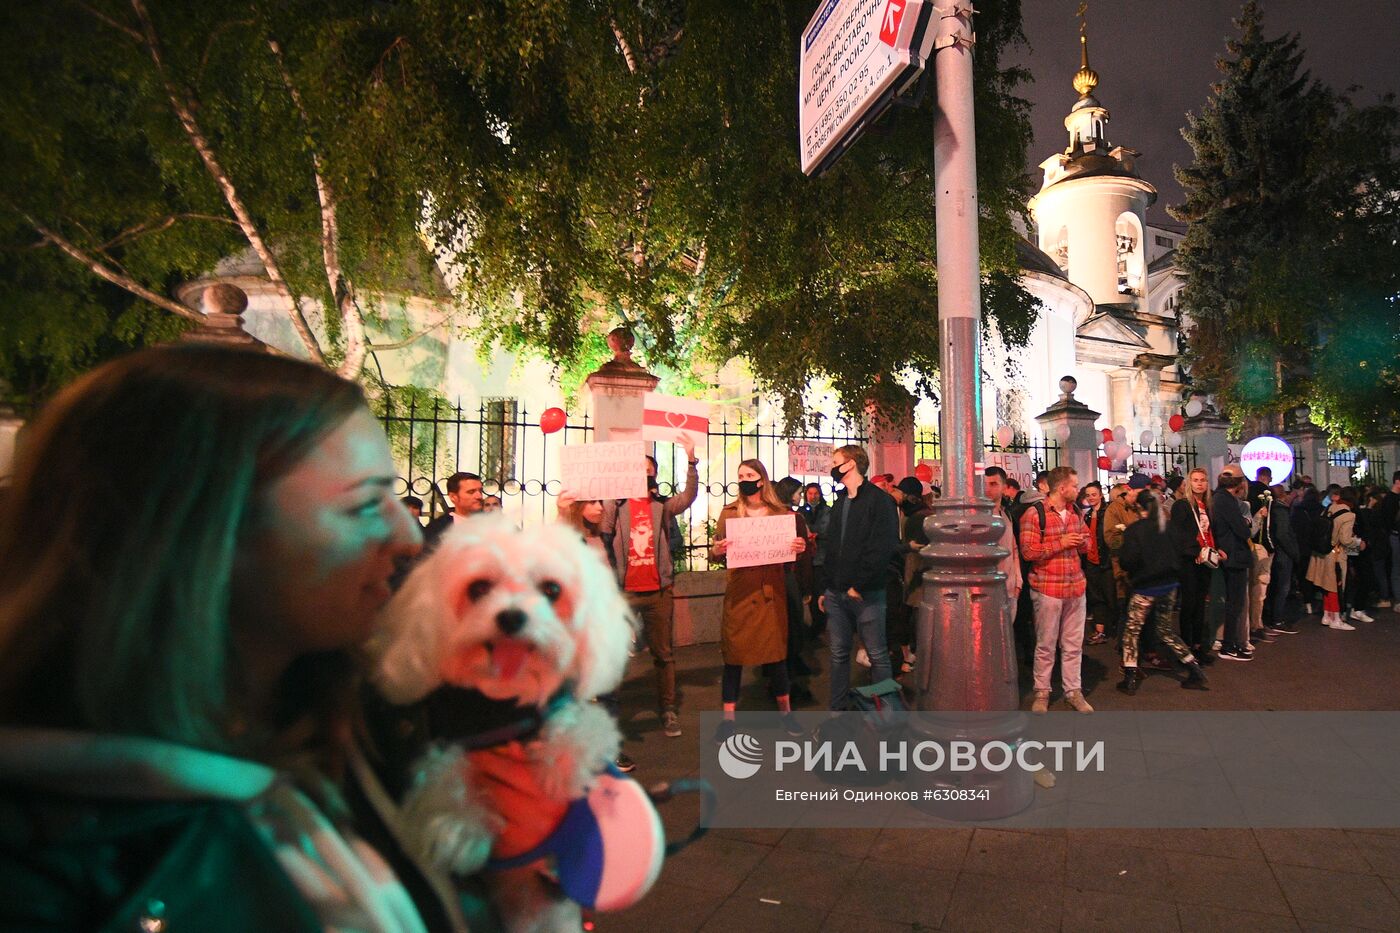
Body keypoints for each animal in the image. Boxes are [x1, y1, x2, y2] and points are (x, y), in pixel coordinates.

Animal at [372, 509, 635, 879]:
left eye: (552, 589)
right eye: (479, 587)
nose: (512, 617)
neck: (502, 704)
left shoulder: (563, 707)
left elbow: (583, 726)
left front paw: (565, 768)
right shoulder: (440, 734)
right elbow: (440, 774)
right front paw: (459, 830)